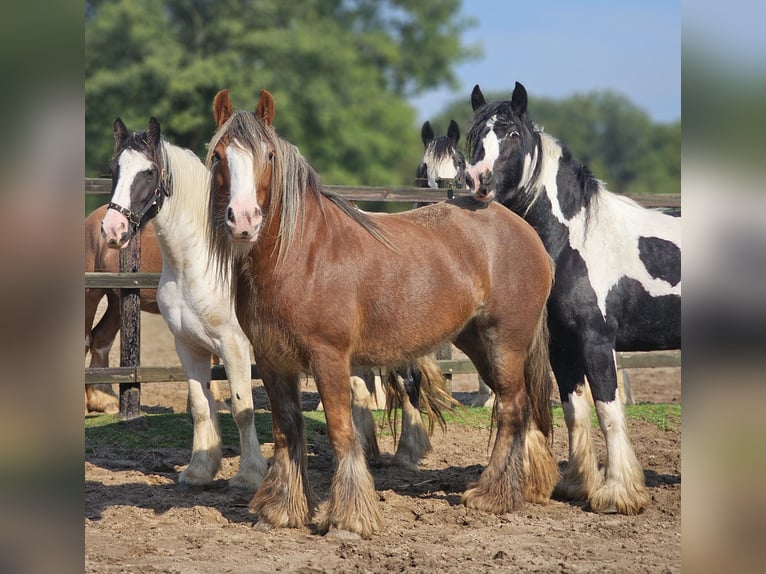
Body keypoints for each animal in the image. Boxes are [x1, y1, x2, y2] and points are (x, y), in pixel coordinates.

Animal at [468, 82, 684, 516]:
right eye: (474, 136)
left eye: (512, 134)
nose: (477, 179)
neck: (578, 240)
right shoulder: (563, 347)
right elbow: (575, 411)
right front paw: (577, 484)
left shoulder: (596, 342)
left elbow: (608, 412)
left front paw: (618, 493)